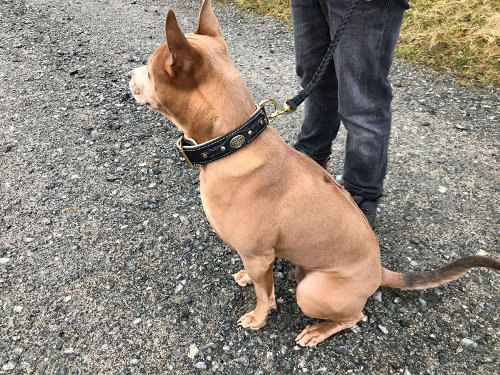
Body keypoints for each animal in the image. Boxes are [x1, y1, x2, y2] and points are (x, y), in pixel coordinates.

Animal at [130, 0, 500, 348]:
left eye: (148, 69)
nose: (129, 76)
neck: (235, 143)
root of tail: (378, 271)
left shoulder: (258, 254)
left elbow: (265, 296)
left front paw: (259, 317)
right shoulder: (259, 258)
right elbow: (260, 280)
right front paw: (248, 279)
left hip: (312, 292)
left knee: (354, 316)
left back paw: (319, 330)